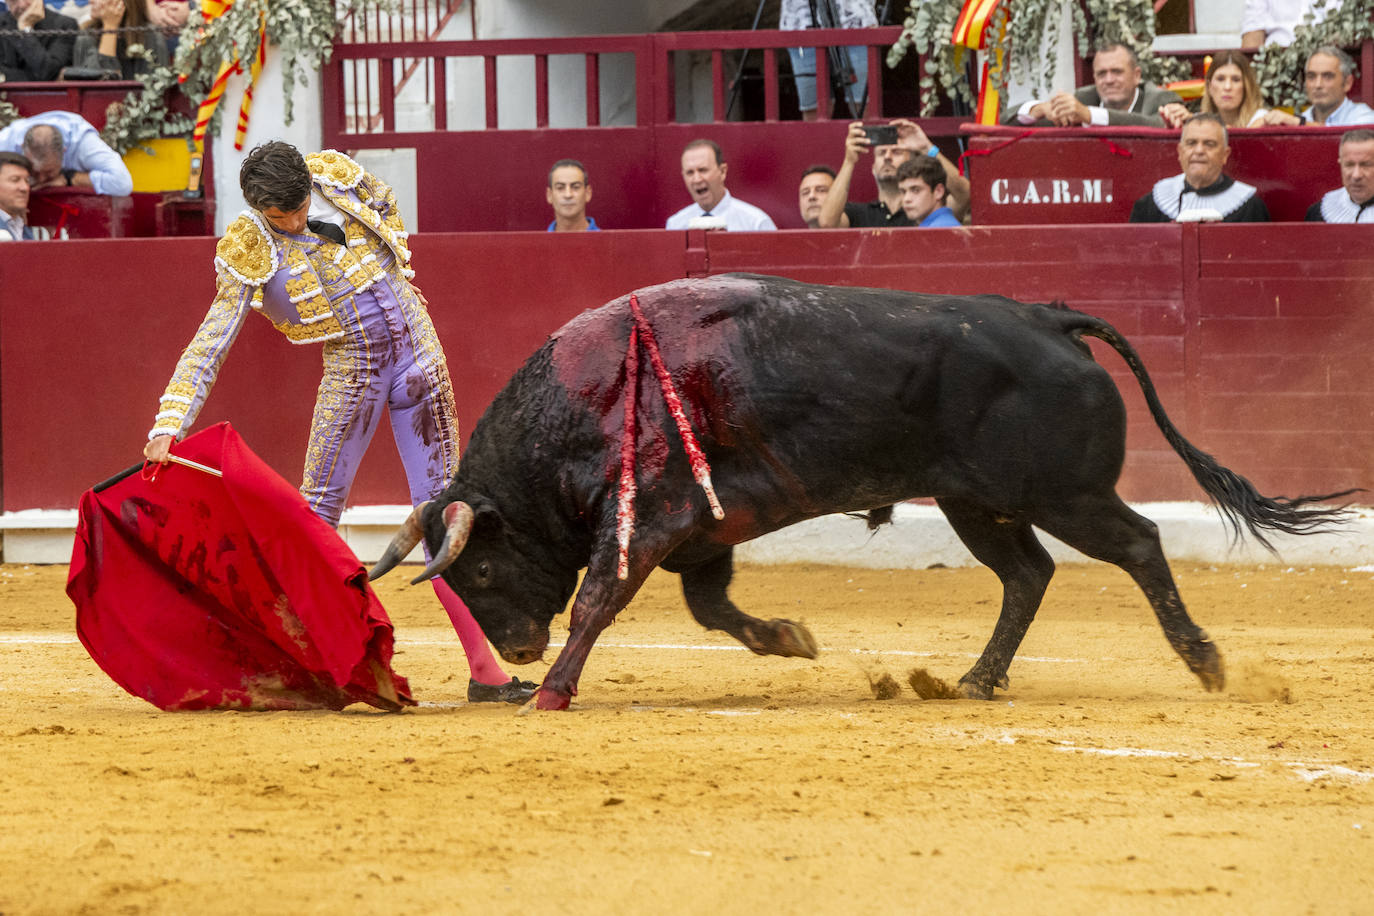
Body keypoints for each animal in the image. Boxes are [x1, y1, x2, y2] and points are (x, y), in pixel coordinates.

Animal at [370, 276, 1346, 714]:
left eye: (480, 570)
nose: (516, 651)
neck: (593, 396)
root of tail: (1046, 316)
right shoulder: (703, 530)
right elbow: (711, 608)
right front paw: (790, 639)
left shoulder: (651, 520)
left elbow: (601, 599)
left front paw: (553, 691)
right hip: (974, 503)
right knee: (1027, 575)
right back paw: (972, 680)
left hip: (1065, 493)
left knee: (1139, 543)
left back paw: (1204, 660)